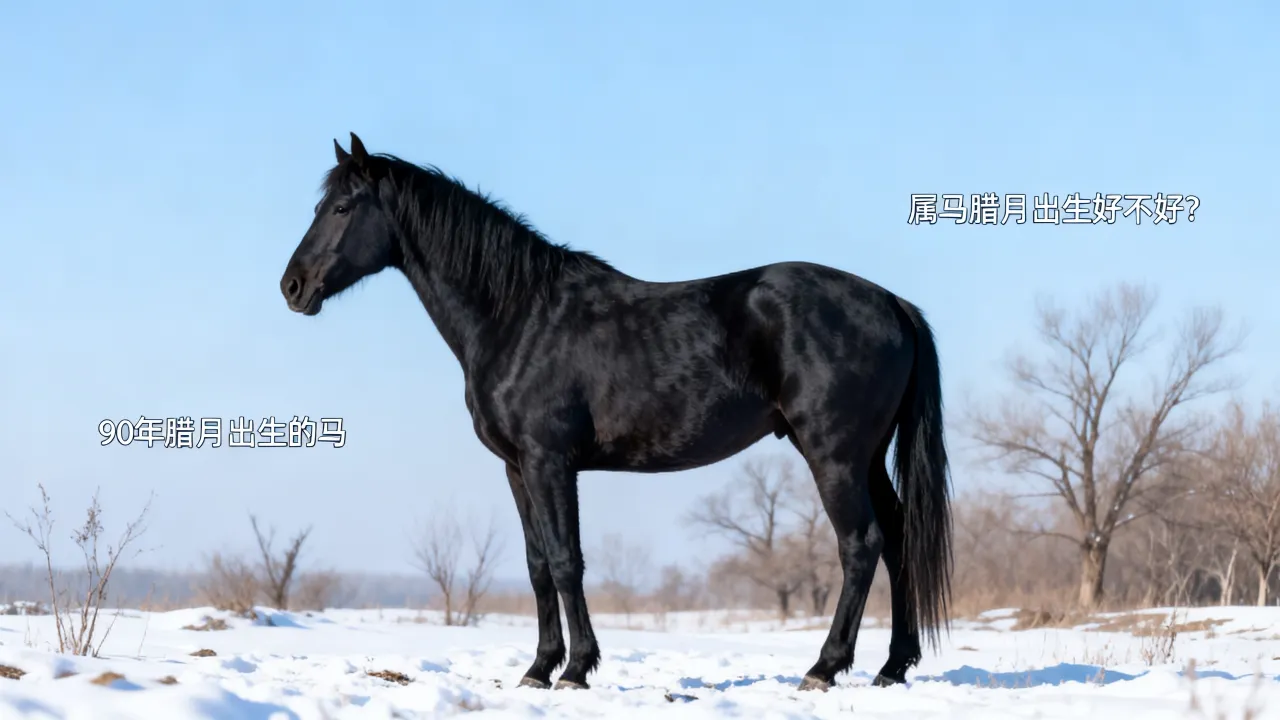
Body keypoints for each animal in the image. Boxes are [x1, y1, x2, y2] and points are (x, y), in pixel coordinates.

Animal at [280, 133, 953, 692]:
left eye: (342, 209)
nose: (293, 287)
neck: (518, 315)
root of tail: (892, 303)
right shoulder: (516, 468)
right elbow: (536, 566)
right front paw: (538, 668)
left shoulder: (550, 461)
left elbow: (565, 561)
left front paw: (575, 670)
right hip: (867, 457)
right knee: (897, 538)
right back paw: (892, 668)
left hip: (834, 455)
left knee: (860, 545)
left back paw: (823, 668)